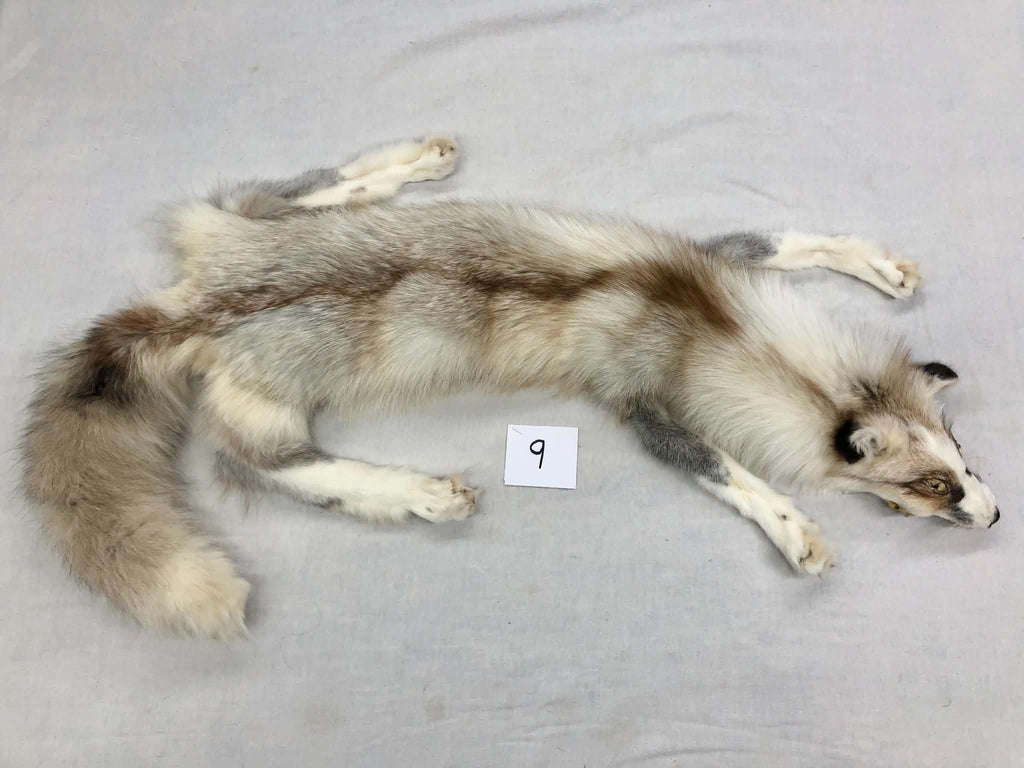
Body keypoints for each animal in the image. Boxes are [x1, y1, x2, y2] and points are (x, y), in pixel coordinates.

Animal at [21, 135, 999, 638]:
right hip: (262, 407)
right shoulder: (645, 410)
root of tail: (192, 303)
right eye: (929, 488)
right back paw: (414, 494)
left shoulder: (710, 258)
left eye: (963, 456)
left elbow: (793, 241)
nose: (994, 518)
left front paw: (874, 265)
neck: (707, 327)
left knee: (287, 191)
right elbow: (733, 476)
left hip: (247, 229)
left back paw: (405, 163)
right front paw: (796, 531)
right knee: (272, 468)